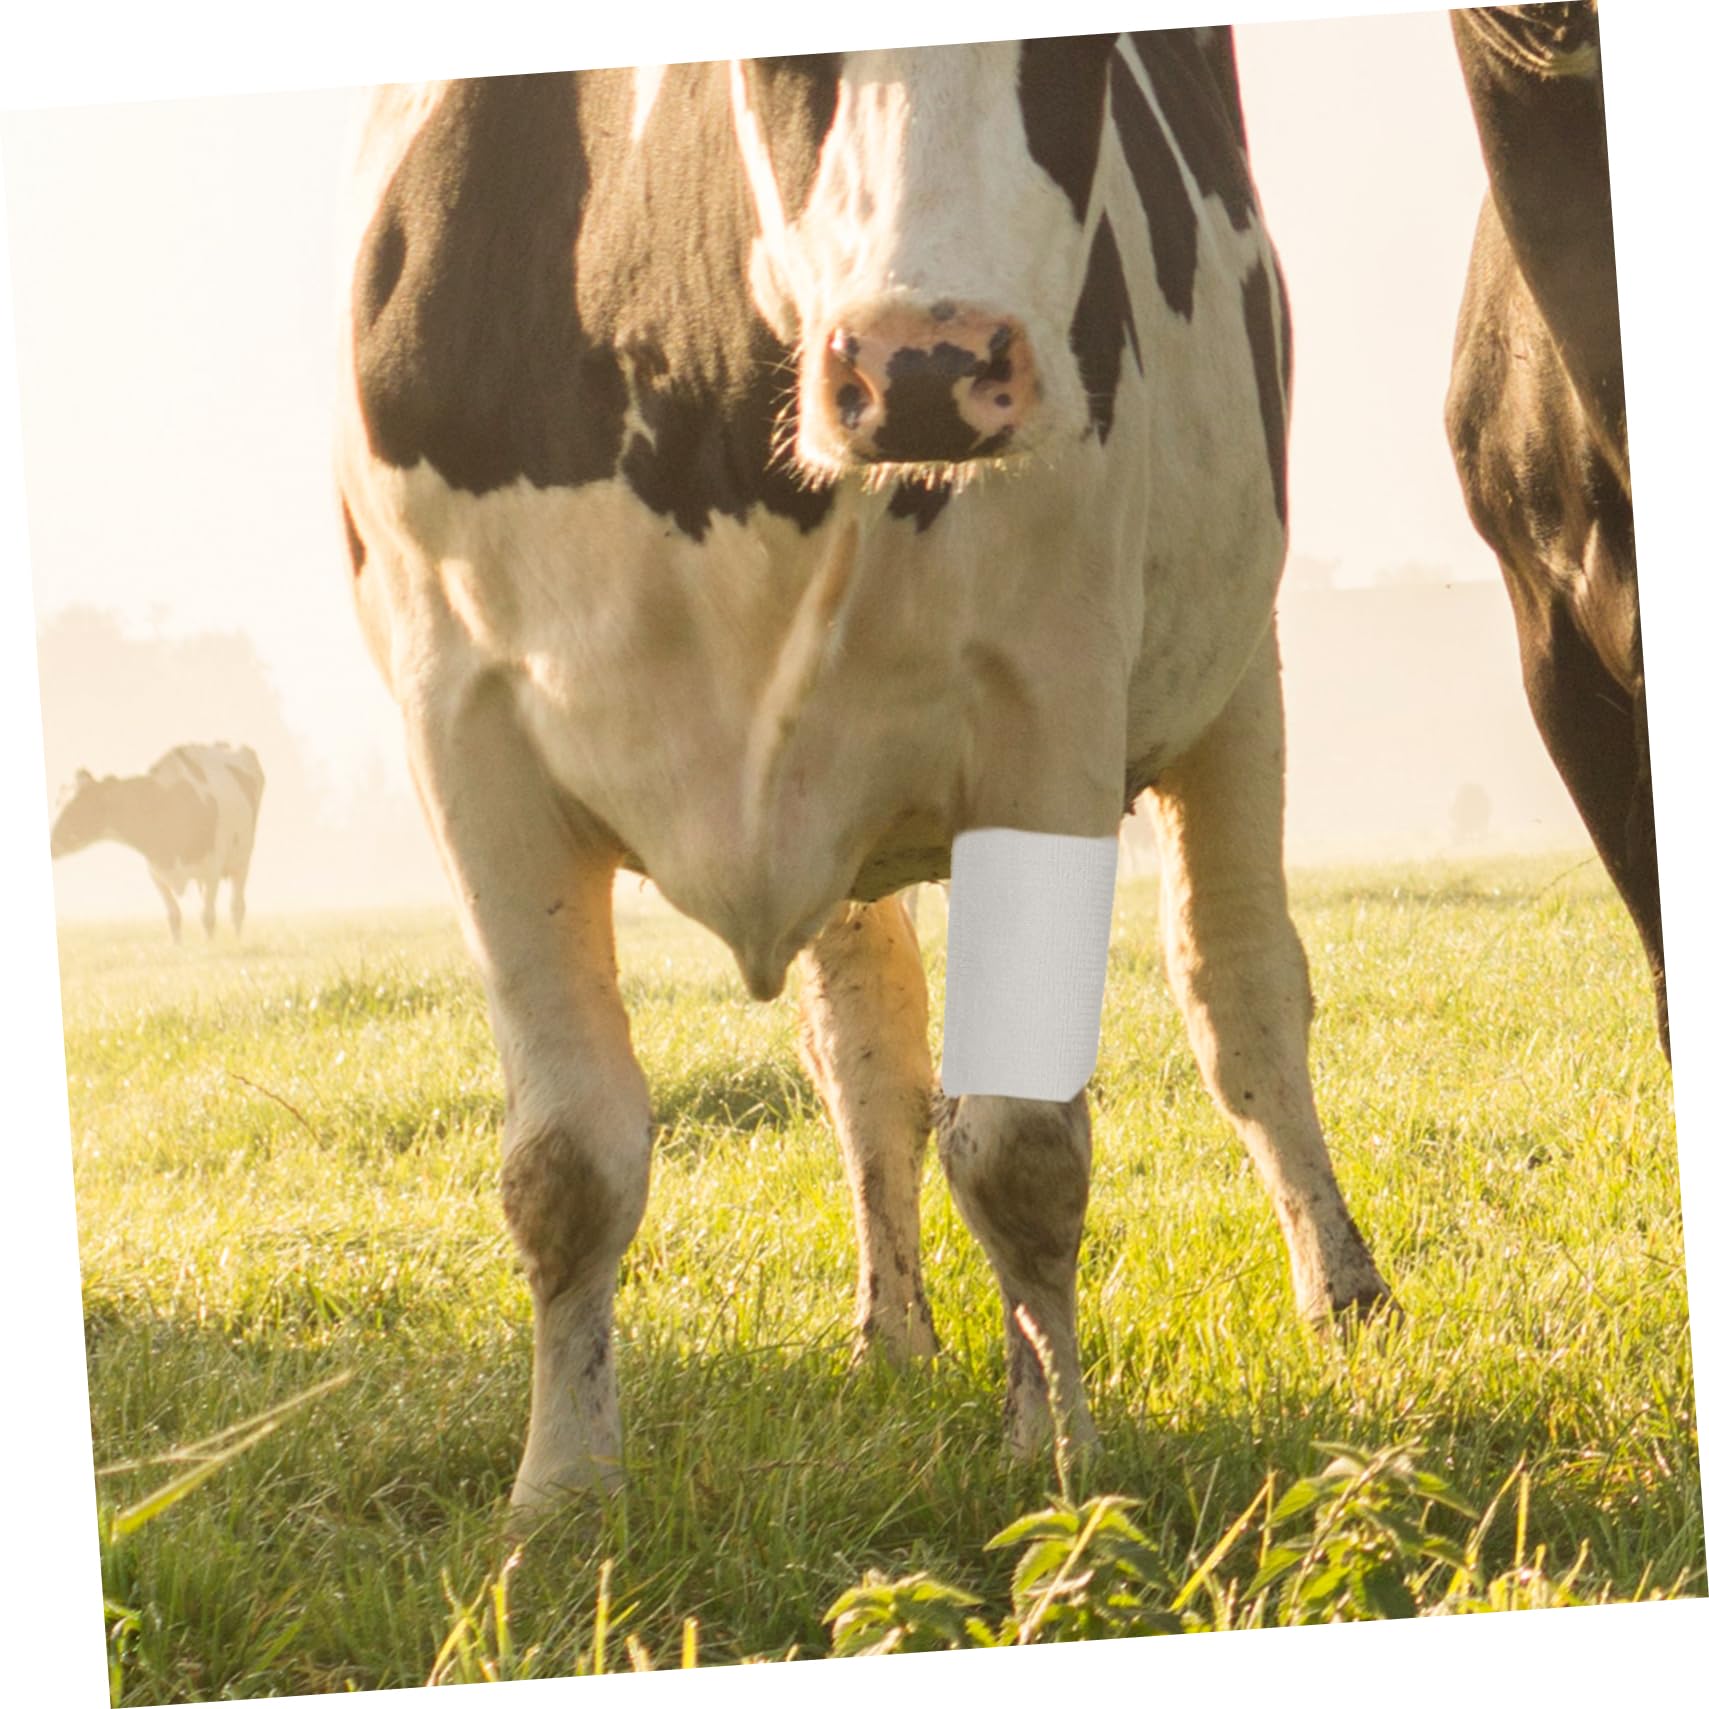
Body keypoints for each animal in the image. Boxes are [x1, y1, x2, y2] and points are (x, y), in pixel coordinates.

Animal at [50, 742, 264, 941]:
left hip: (242, 860)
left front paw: (209, 948)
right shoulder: (156, 873)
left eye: (77, 805)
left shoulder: (211, 868)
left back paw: (237, 941)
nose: (50, 841)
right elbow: (173, 917)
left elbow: (207, 917)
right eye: (57, 801)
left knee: (237, 908)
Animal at [336, 32, 1393, 1511]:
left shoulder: (1048, 707)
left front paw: (1056, 1454)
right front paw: (560, 1495)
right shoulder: (463, 726)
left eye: (1078, 51)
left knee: (1238, 989)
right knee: (866, 1050)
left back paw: (1338, 1289)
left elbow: (1021, 1144)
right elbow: (566, 1162)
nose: (925, 365)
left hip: (1234, 672)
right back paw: (891, 1331)